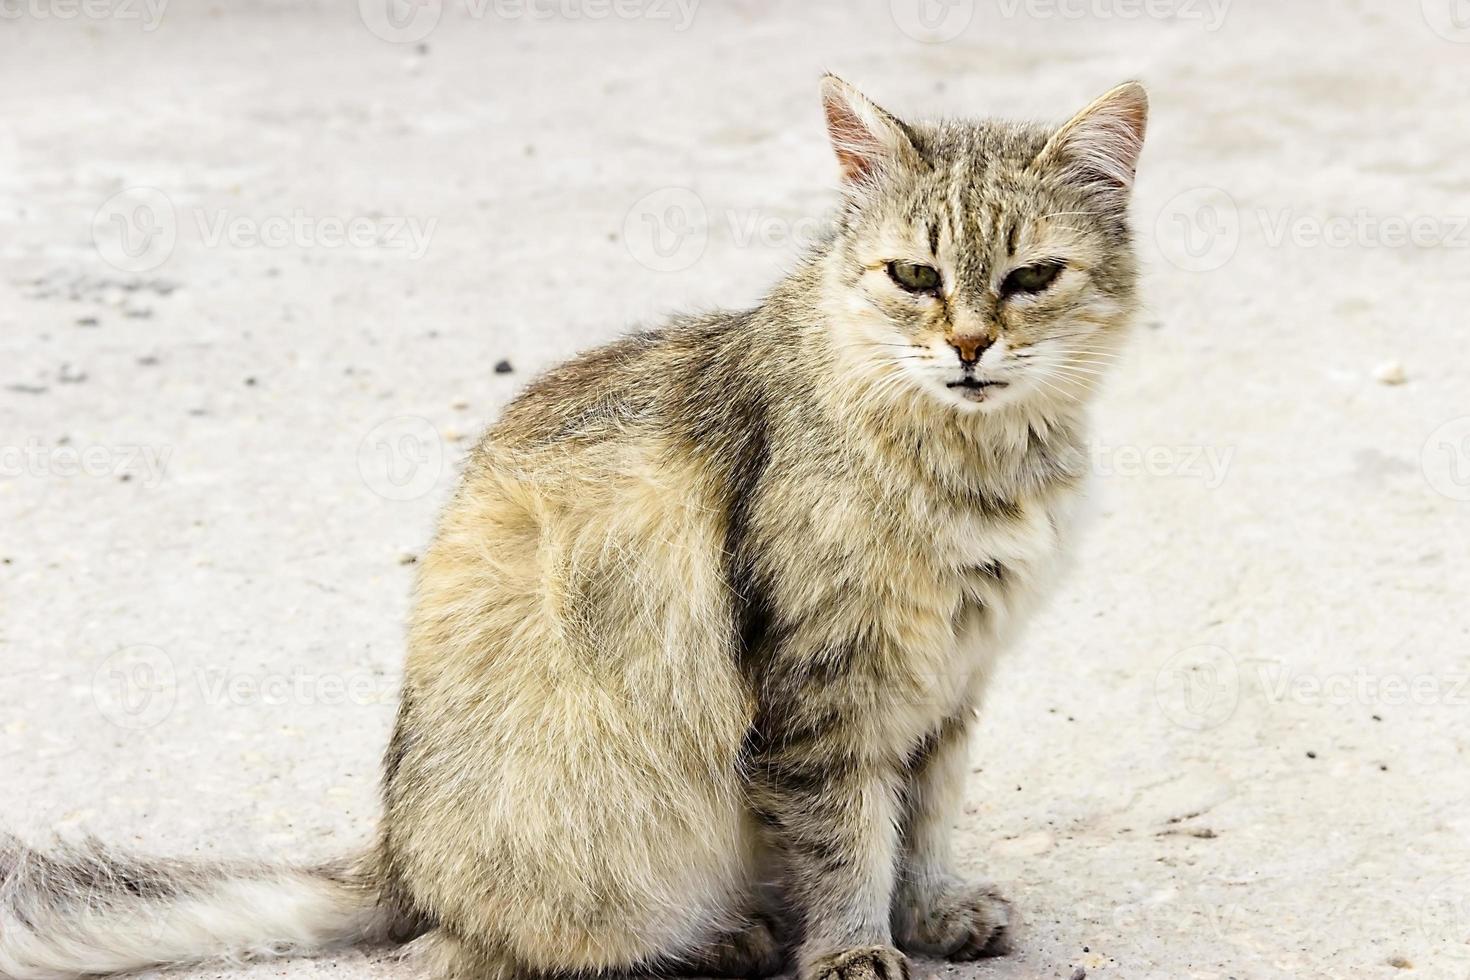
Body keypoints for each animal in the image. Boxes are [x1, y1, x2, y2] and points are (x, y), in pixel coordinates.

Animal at [0, 76, 1146, 980]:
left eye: (1029, 279)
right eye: (915, 277)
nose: (969, 346)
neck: (984, 465)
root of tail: (398, 862)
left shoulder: (952, 683)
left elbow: (924, 825)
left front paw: (932, 915)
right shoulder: (827, 690)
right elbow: (848, 843)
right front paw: (853, 949)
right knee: (466, 952)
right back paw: (720, 941)